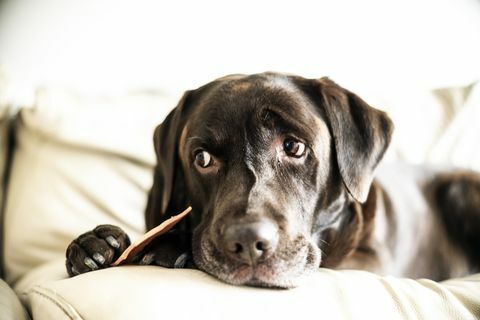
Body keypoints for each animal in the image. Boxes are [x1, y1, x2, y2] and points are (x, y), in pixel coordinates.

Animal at [64, 72, 480, 288]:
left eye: (294, 147)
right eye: (202, 158)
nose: (248, 242)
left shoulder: (364, 263)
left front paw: (170, 245)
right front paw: (96, 244)